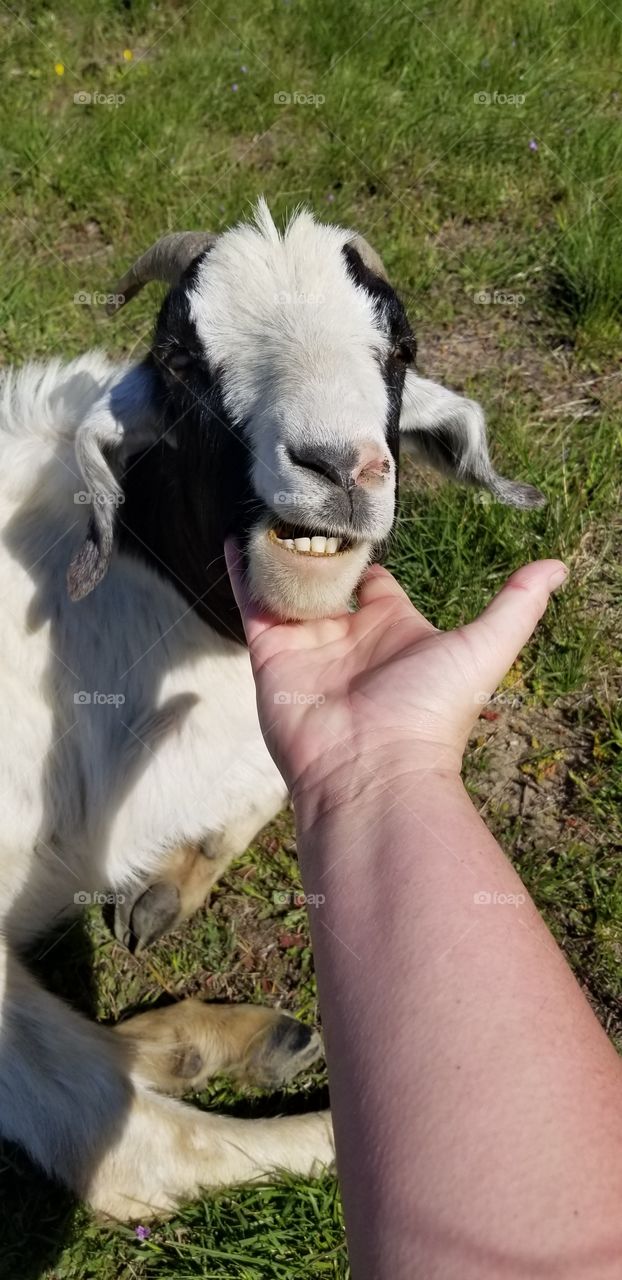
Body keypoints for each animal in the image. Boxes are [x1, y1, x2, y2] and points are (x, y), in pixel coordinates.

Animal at [0, 200, 544, 1219]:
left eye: (401, 347)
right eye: (180, 360)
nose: (338, 468)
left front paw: (167, 891)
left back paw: (228, 1042)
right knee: (124, 1144)